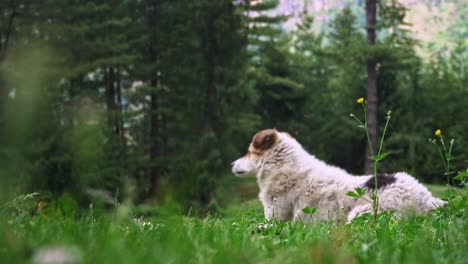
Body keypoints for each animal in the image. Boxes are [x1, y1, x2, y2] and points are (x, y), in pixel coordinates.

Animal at [230, 129, 446, 222]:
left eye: (249, 151)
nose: (231, 164)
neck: (283, 166)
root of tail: (425, 198)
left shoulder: (275, 216)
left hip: (361, 214)